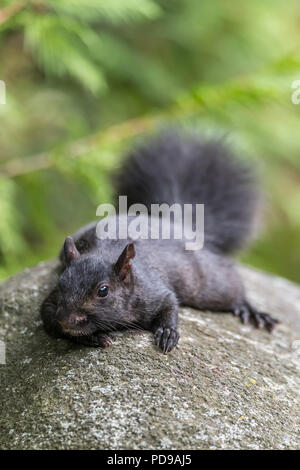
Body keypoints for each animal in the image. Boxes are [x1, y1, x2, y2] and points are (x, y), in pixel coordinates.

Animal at [40, 130, 278, 350]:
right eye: (61, 283)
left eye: (103, 290)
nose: (66, 319)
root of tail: (177, 224)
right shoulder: (51, 305)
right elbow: (48, 319)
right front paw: (93, 337)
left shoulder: (154, 292)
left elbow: (170, 303)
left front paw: (168, 332)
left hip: (205, 283)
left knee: (231, 287)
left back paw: (250, 309)